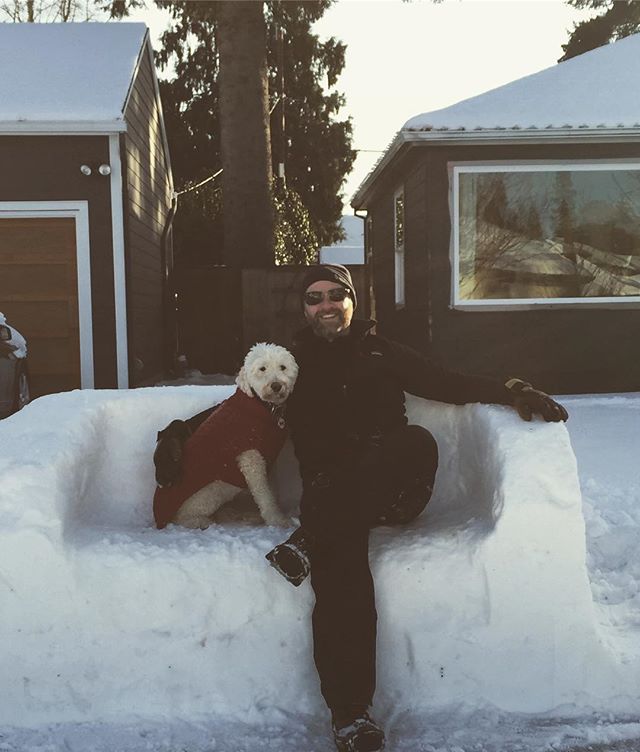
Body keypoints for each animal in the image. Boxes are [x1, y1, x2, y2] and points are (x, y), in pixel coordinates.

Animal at [152, 344, 298, 532]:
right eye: (262, 368)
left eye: (283, 367)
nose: (276, 386)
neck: (261, 406)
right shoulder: (251, 459)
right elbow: (264, 495)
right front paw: (278, 520)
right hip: (208, 494)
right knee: (183, 518)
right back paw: (202, 521)